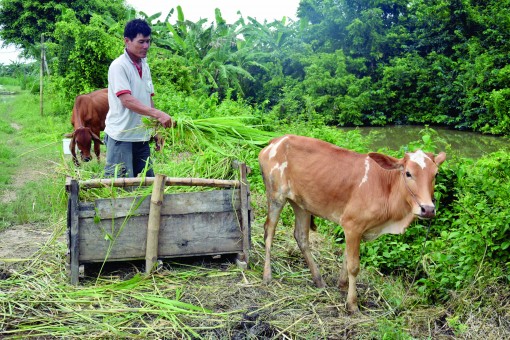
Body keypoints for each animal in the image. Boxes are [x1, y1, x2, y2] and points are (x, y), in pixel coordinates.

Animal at [258, 133, 446, 314]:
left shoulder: (356, 230)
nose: (428, 209)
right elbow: (354, 266)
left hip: (301, 204)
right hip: (276, 196)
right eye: (408, 173)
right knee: (269, 231)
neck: (387, 188)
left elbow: (346, 259)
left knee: (301, 236)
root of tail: (276, 140)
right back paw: (267, 275)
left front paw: (342, 286)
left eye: (436, 174)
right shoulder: (352, 225)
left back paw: (318, 280)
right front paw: (352, 304)